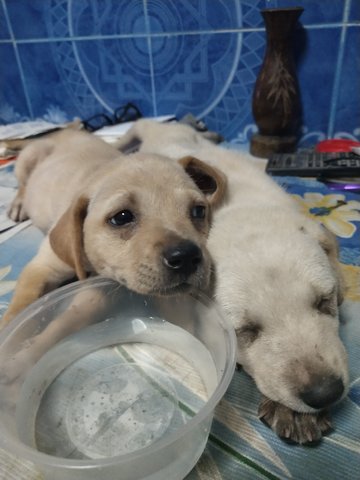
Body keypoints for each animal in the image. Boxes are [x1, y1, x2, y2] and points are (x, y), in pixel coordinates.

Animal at [0, 129, 225, 326]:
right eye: (122, 217)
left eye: (198, 211)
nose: (186, 257)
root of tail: (61, 132)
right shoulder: (42, 266)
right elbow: (21, 306)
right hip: (27, 160)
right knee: (23, 184)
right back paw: (19, 204)